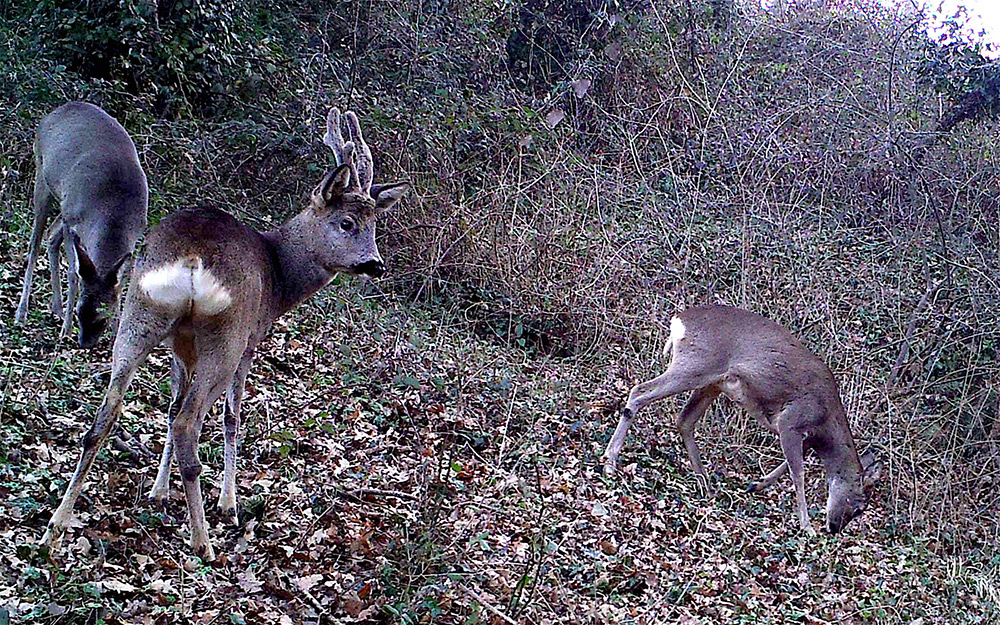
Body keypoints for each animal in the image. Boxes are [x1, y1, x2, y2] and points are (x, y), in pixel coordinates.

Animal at [15, 101, 148, 348]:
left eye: (102, 318)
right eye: (79, 312)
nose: (84, 343)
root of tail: (55, 111)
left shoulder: (135, 237)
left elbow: (121, 284)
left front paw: (116, 335)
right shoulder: (73, 222)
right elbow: (74, 274)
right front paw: (66, 330)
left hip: (62, 202)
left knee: (50, 234)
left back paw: (56, 308)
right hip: (42, 176)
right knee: (34, 244)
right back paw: (22, 313)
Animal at [40, 108, 408, 561]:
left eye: (376, 224)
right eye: (347, 222)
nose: (375, 264)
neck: (279, 276)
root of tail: (192, 261)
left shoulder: (182, 344)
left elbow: (169, 407)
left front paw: (159, 492)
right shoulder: (251, 340)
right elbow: (232, 418)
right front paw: (228, 503)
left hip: (138, 316)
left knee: (105, 418)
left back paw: (55, 529)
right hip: (225, 337)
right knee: (190, 423)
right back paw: (203, 541)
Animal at [601, 305, 880, 535]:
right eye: (859, 507)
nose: (833, 528)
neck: (827, 423)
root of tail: (679, 320)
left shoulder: (805, 435)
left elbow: (784, 467)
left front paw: (756, 485)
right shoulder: (791, 420)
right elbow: (797, 473)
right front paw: (806, 527)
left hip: (711, 382)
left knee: (684, 420)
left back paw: (705, 483)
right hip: (696, 365)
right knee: (640, 391)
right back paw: (610, 461)